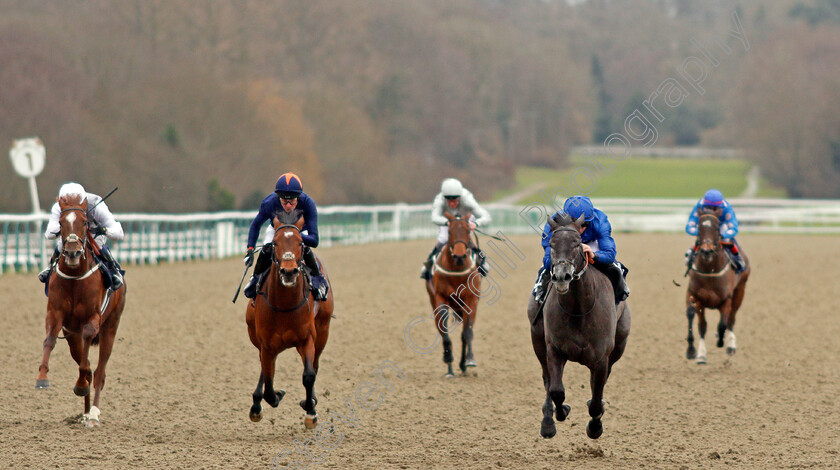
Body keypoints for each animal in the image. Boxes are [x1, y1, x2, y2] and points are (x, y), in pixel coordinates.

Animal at [35, 194, 126, 426]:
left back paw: (93, 414)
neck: (75, 278)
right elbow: (49, 340)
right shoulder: (56, 314)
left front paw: (81, 385)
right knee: (86, 363)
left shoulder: (93, 318)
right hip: (71, 337)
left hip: (111, 327)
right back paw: (85, 412)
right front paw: (42, 378)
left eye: (85, 222)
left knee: (99, 371)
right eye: (60, 223)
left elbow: (88, 361)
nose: (73, 252)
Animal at [244, 211, 334, 428]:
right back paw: (256, 405)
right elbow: (269, 385)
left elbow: (309, 375)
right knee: (265, 369)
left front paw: (310, 411)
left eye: (300, 242)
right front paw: (274, 396)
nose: (289, 271)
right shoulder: (266, 344)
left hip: (323, 331)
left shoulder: (307, 339)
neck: (284, 306)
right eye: (275, 243)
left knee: (315, 365)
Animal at [424, 213, 482, 378]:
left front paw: (468, 360)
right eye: (449, 231)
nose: (459, 256)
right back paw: (450, 368)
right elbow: (444, 332)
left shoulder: (471, 300)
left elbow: (467, 333)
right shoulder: (440, 299)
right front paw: (448, 359)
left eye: (468, 231)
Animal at [524, 213, 632, 440]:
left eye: (576, 243)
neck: (578, 310)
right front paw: (561, 411)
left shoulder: (601, 358)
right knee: (547, 379)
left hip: (619, 345)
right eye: (552, 244)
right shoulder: (554, 349)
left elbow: (597, 396)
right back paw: (548, 422)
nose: (561, 276)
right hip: (537, 339)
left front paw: (595, 426)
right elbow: (556, 390)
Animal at [684, 208, 752, 364]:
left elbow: (722, 324)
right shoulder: (696, 297)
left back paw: (731, 345)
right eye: (699, 227)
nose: (706, 251)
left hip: (740, 290)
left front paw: (721, 341)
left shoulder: (726, 299)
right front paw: (698, 353)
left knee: (731, 318)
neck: (710, 270)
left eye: (716, 227)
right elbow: (700, 324)